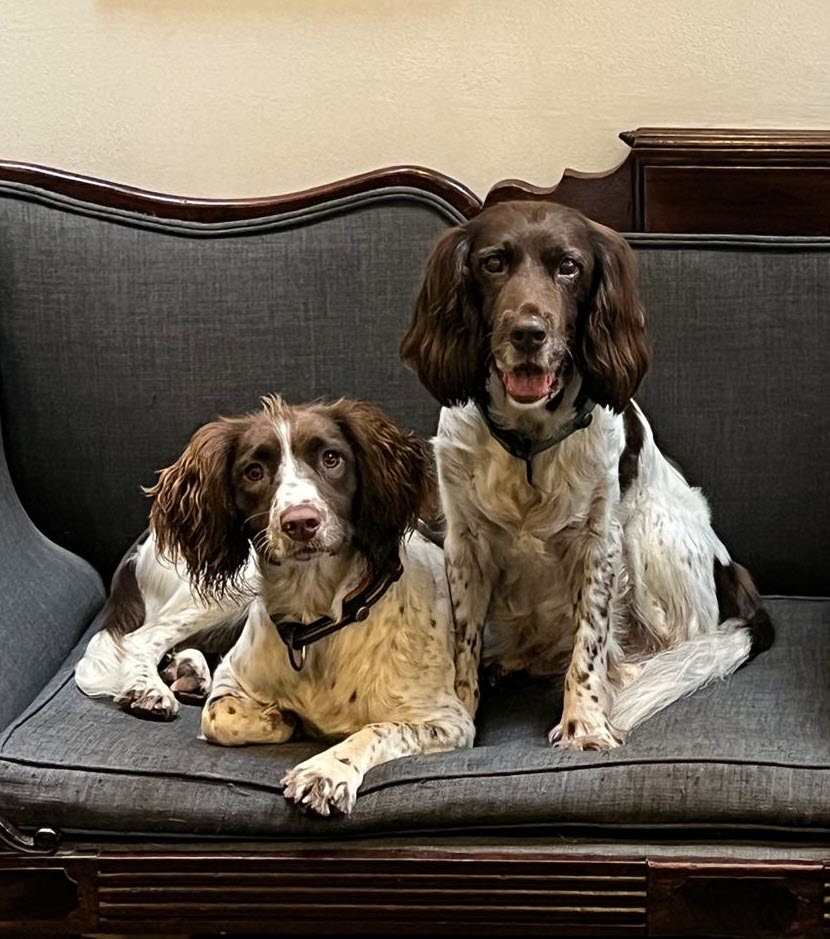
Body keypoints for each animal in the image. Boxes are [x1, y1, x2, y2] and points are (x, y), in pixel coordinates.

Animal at [76, 396, 474, 816]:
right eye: (254, 471)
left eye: (332, 458)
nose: (300, 522)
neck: (317, 621)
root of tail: (142, 539)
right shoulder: (233, 679)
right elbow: (220, 715)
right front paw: (283, 718)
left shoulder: (448, 718)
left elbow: (375, 729)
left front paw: (326, 771)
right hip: (236, 582)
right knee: (144, 637)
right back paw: (148, 689)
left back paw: (186, 672)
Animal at [402, 202, 772, 752]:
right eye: (493, 263)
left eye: (569, 266)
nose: (528, 332)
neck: (528, 443)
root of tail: (733, 575)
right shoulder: (466, 544)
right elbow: (462, 642)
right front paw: (460, 713)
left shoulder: (600, 541)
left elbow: (591, 640)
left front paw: (586, 720)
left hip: (649, 534)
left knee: (668, 647)